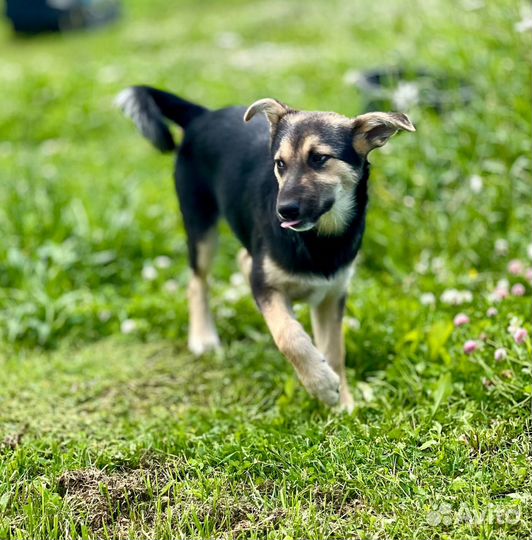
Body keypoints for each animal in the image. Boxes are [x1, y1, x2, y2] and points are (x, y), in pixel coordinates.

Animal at [117, 86, 416, 412]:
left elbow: (335, 351)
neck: (319, 238)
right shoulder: (264, 285)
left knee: (240, 259)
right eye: (280, 164)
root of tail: (203, 115)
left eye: (319, 159)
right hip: (199, 223)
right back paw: (203, 338)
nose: (283, 211)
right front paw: (323, 385)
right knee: (198, 282)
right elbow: (289, 336)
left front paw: (342, 401)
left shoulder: (332, 294)